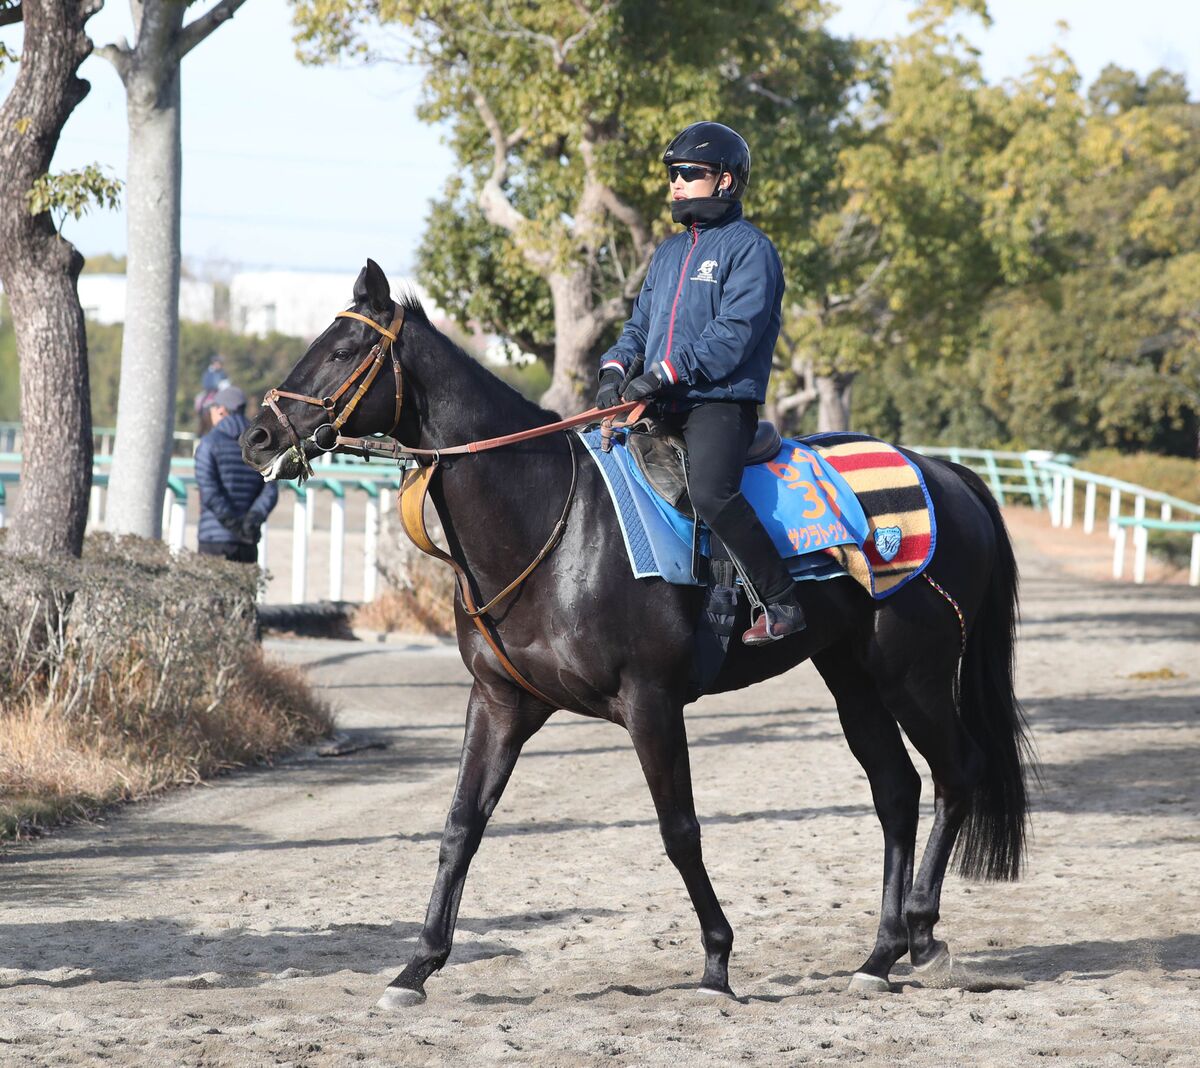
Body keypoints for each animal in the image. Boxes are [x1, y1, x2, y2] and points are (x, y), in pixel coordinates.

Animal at [241, 260, 1032, 1008]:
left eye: (343, 350)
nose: (258, 435)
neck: (554, 525)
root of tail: (944, 473)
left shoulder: (650, 702)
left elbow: (679, 830)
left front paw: (717, 961)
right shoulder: (500, 701)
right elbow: (461, 825)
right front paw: (417, 967)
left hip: (912, 675)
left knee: (956, 772)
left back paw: (924, 937)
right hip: (852, 674)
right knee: (896, 790)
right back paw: (880, 956)